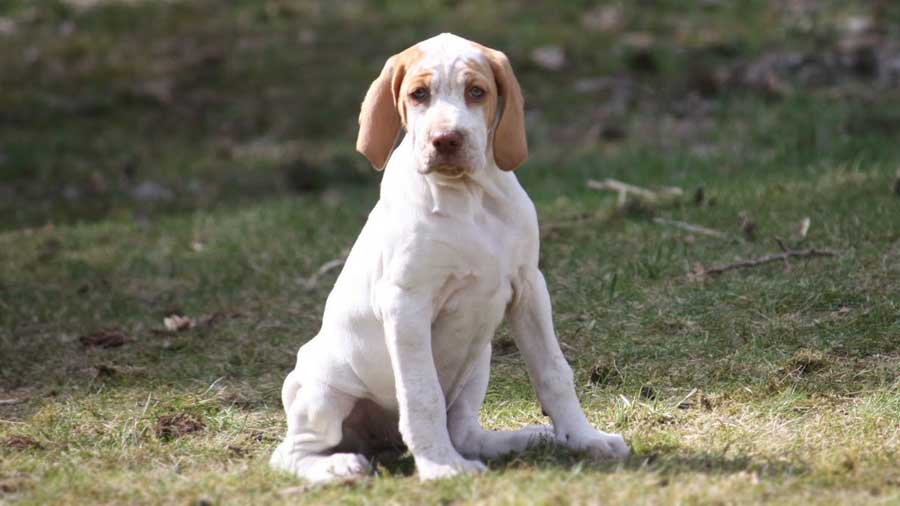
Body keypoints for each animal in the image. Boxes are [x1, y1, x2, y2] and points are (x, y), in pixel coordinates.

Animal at [270, 31, 628, 482]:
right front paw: (441, 466)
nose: (446, 140)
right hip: (322, 392)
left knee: (466, 433)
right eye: (418, 94)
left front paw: (584, 438)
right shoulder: (406, 305)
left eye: (476, 92)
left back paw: (529, 437)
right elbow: (422, 395)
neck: (468, 197)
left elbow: (553, 372)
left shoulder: (530, 287)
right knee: (289, 453)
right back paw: (338, 465)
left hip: (479, 364)